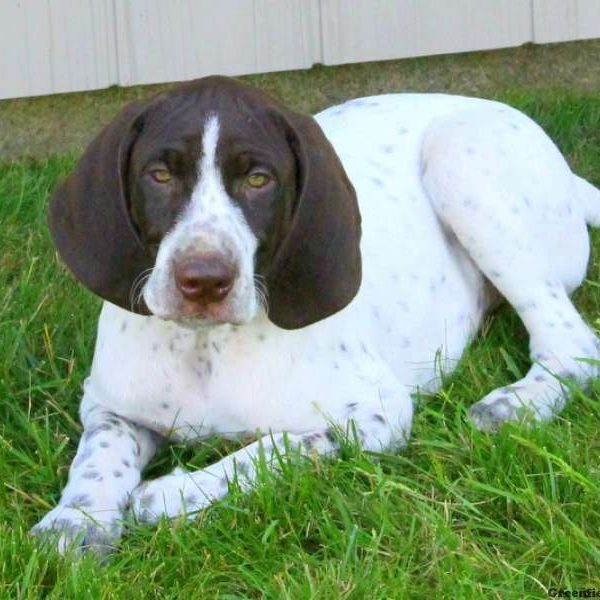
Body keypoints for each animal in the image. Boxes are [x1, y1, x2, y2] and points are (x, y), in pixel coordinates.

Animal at [31, 75, 600, 552]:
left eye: (259, 180)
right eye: (160, 175)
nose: (205, 281)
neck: (206, 347)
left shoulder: (378, 413)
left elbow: (277, 448)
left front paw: (170, 494)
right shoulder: (109, 406)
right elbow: (97, 458)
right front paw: (74, 524)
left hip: (457, 157)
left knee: (572, 345)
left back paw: (513, 406)